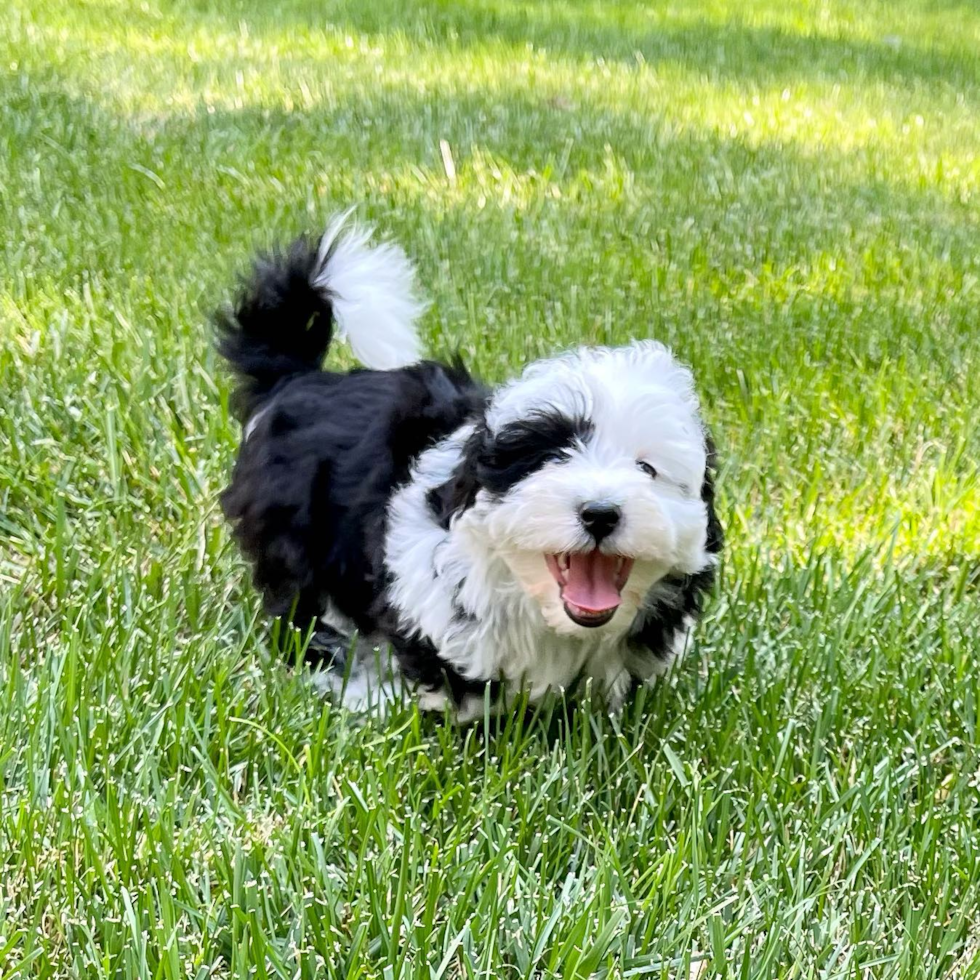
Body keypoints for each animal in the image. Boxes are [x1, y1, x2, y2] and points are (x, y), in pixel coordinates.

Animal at [218, 214, 720, 720]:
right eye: (550, 457)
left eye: (647, 469)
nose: (600, 513)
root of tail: (297, 377)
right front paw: (387, 700)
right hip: (294, 530)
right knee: (302, 601)